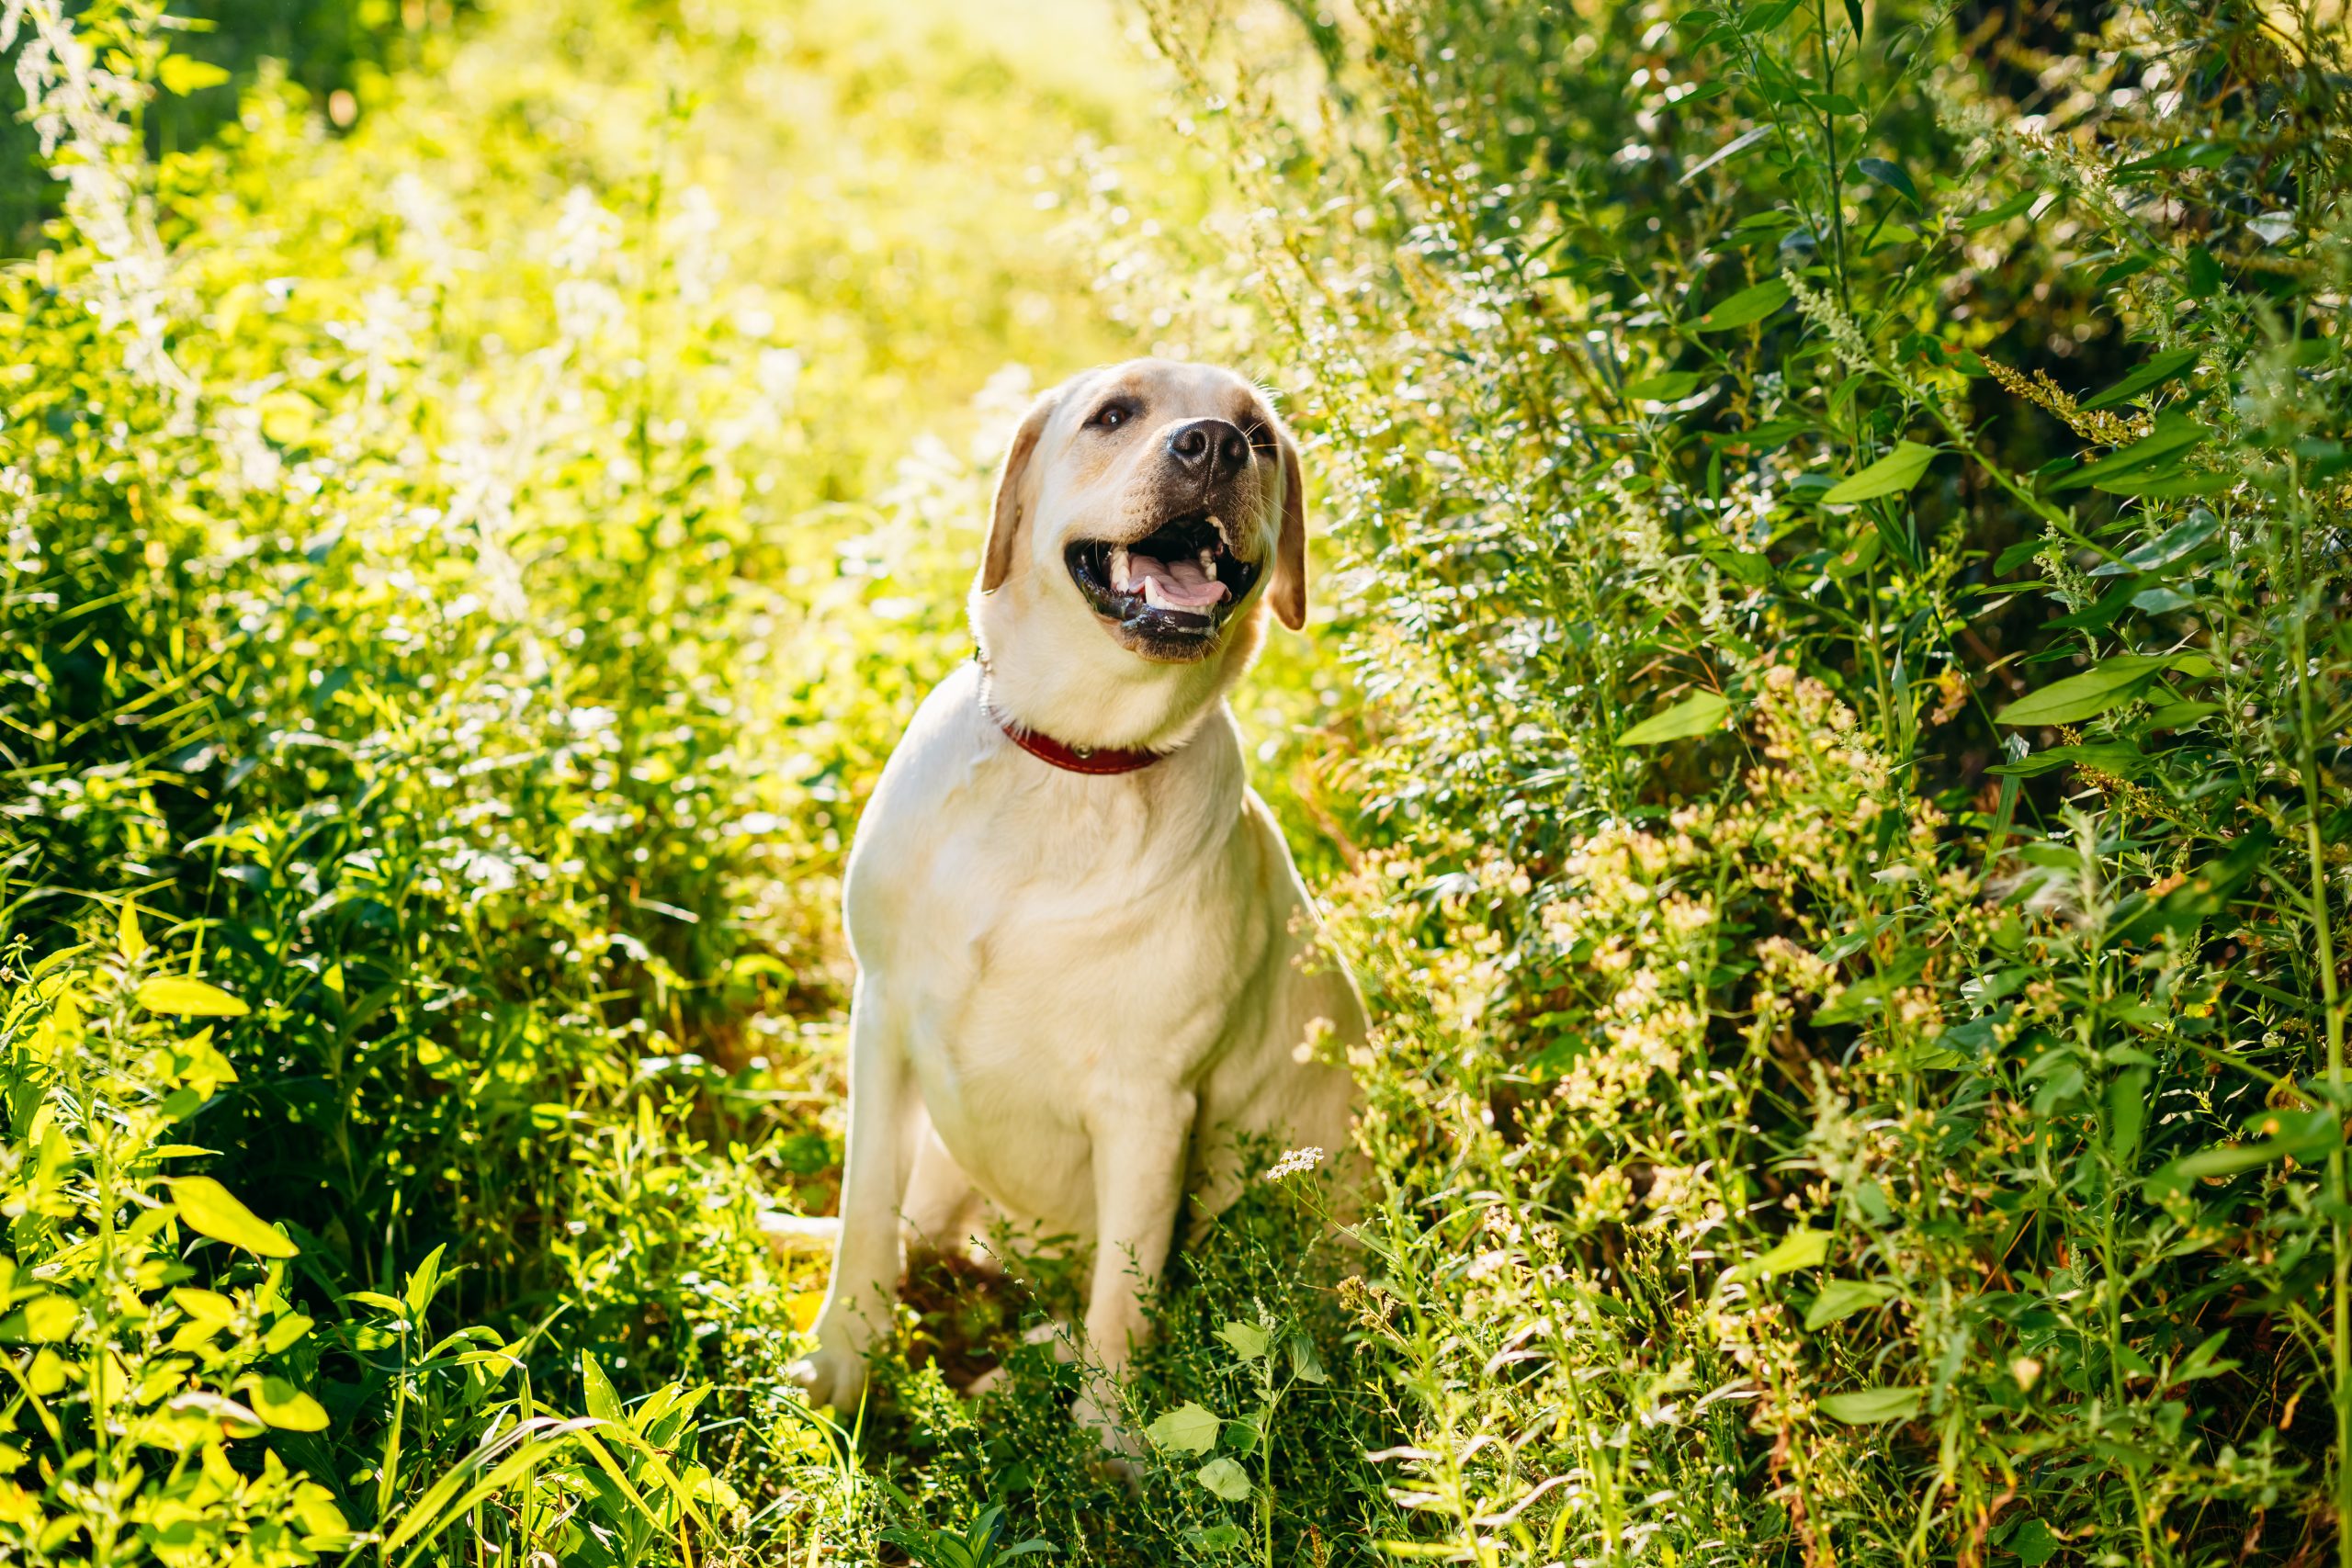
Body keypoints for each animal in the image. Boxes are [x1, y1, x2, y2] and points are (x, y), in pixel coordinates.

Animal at [775, 359, 1363, 1448]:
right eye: (1115, 413)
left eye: (1260, 436)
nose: (1215, 445)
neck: (1073, 762)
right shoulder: (882, 1020)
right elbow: (868, 1211)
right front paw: (843, 1363)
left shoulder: (1149, 1108)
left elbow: (1122, 1307)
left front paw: (1108, 1450)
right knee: (919, 1229)